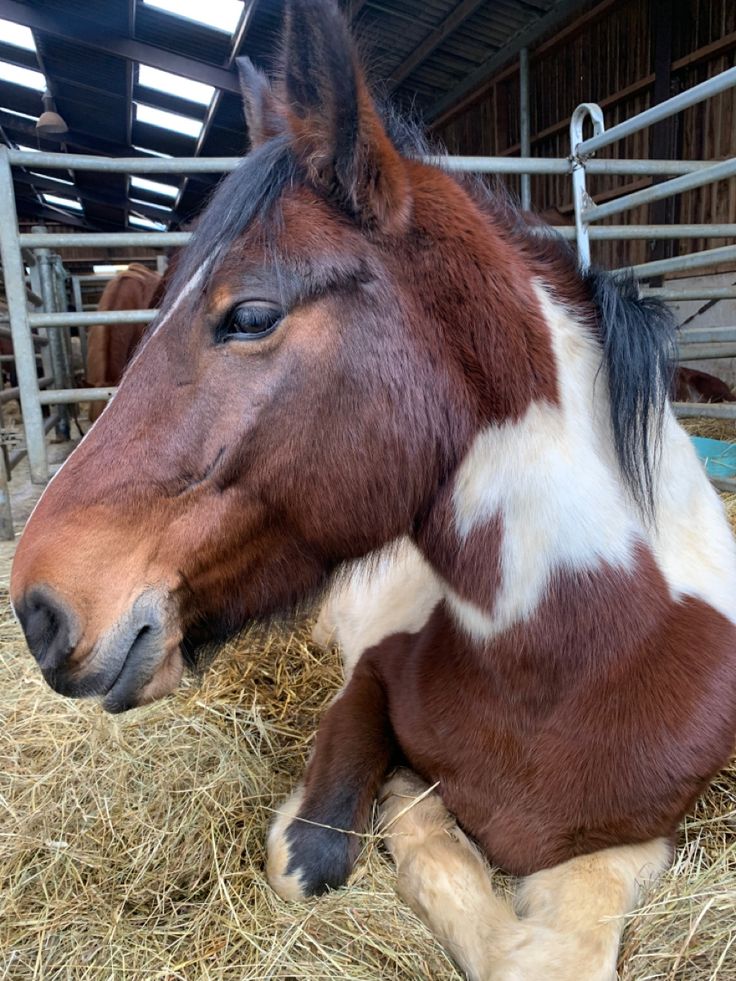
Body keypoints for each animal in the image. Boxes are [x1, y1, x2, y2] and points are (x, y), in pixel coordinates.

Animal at [10, 3, 736, 976]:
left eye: (250, 315)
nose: (38, 608)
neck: (580, 663)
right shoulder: (367, 680)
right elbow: (323, 853)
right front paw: (405, 815)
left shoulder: (639, 830)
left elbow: (551, 945)